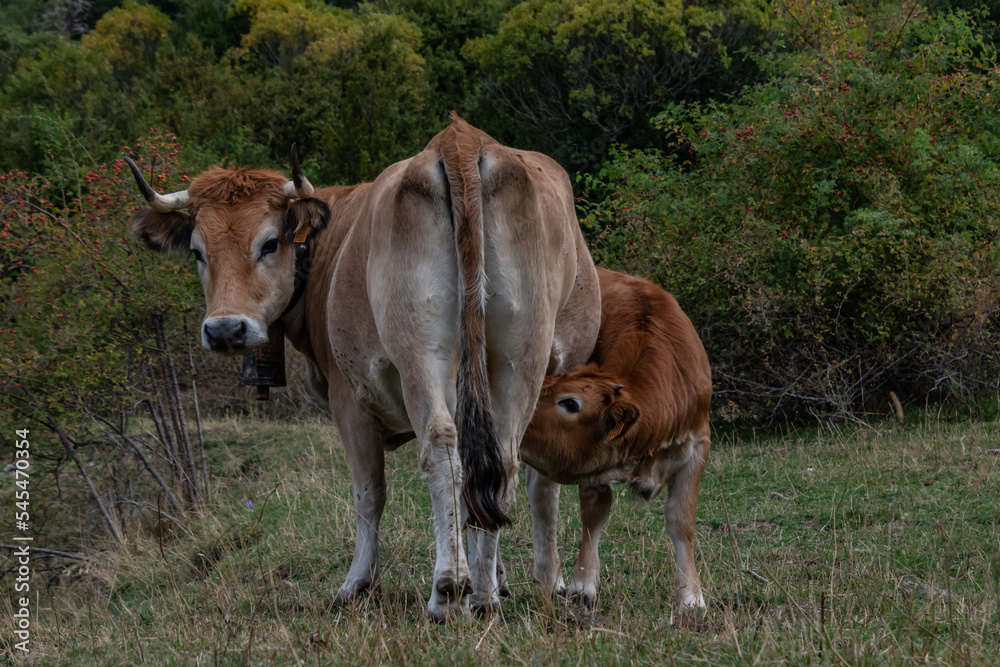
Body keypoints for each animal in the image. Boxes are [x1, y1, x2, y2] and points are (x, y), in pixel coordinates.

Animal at [125, 113, 601, 621]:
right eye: (197, 252)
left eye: (270, 243)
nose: (225, 329)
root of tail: (459, 138)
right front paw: (496, 576)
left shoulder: (347, 397)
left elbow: (369, 492)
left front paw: (357, 582)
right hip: (527, 357)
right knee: (513, 466)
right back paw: (507, 590)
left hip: (420, 353)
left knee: (443, 450)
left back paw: (448, 589)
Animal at [520, 267, 711, 611]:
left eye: (570, 402)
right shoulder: (595, 469)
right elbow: (594, 513)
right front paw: (583, 585)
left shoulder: (698, 446)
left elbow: (682, 520)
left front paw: (691, 596)